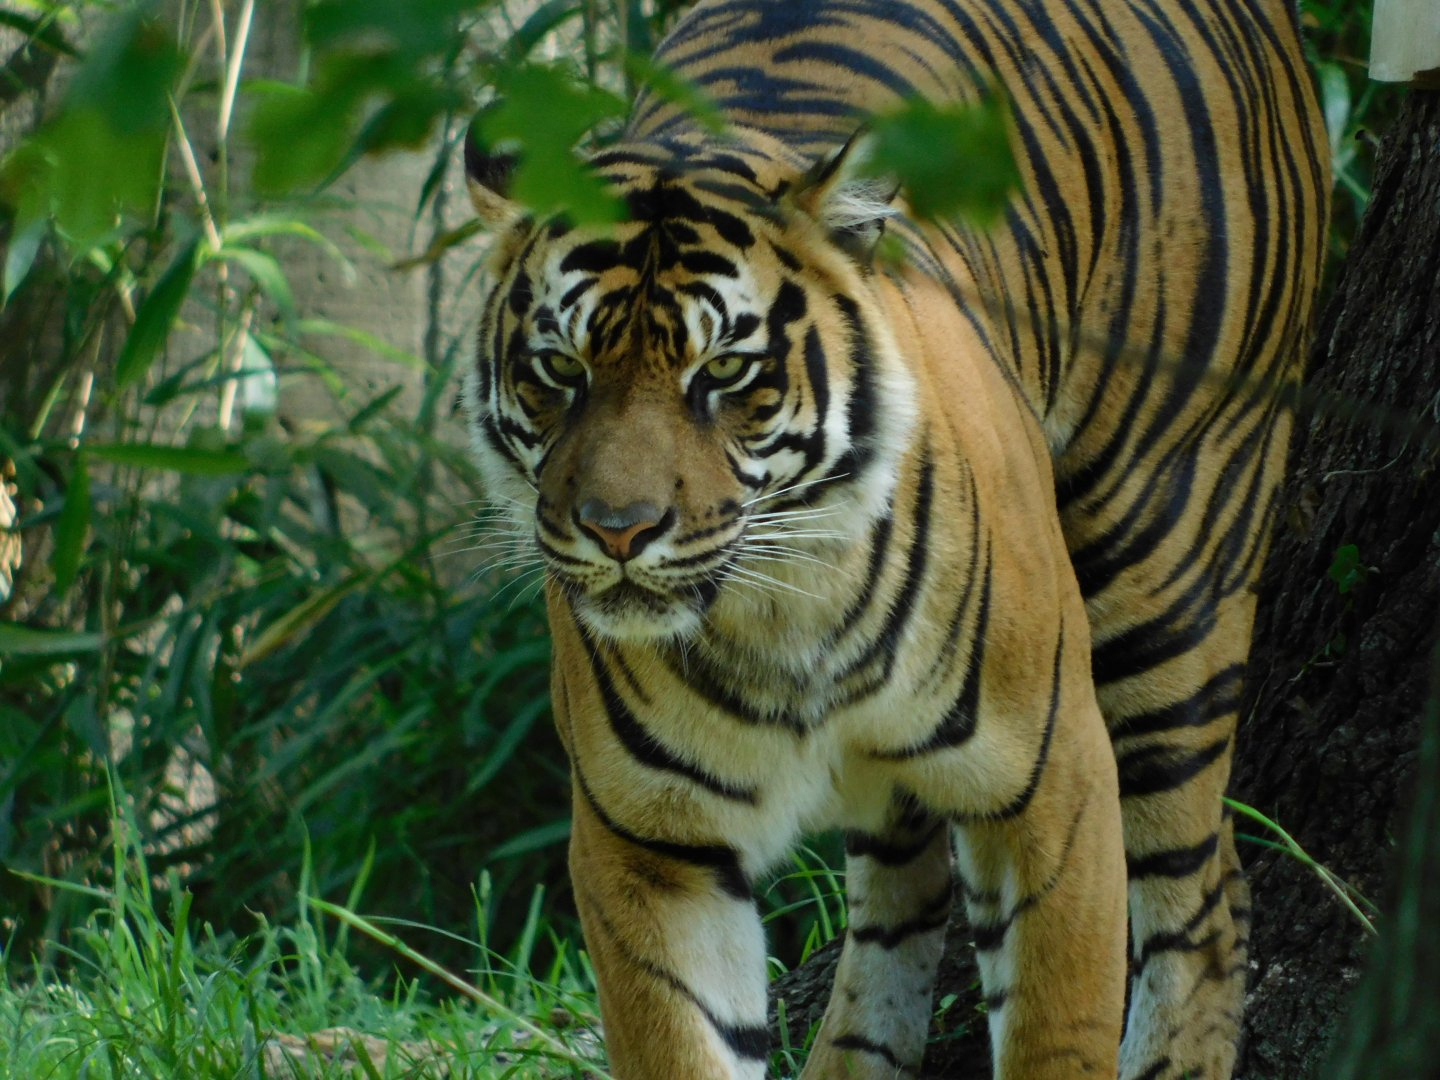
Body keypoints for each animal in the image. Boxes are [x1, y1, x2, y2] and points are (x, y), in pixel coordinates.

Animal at [461, 0, 1327, 1075]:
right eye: (558, 369)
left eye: (725, 371)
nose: (618, 531)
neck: (780, 615)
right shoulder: (651, 843)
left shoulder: (1054, 784)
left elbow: (1059, 1027)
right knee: (906, 893)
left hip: (1171, 564)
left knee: (1206, 894)